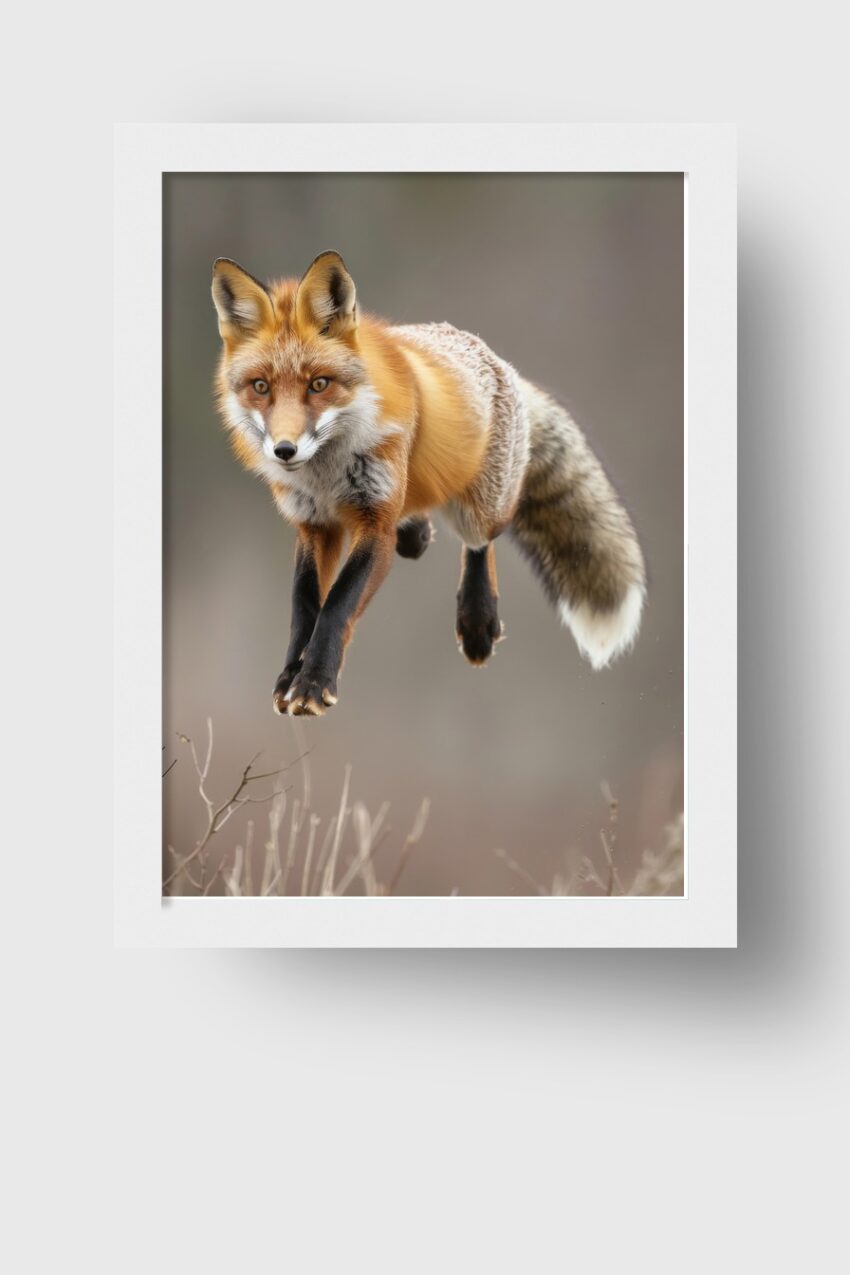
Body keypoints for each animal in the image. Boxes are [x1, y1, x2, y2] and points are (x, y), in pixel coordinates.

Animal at [211, 251, 646, 717]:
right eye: (261, 387)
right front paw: (290, 676)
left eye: (319, 384)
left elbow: (336, 606)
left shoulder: (375, 523)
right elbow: (304, 608)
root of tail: (493, 356)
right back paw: (419, 534)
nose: (284, 450)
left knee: (480, 542)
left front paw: (313, 683)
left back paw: (477, 621)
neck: (326, 473)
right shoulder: (314, 525)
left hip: (482, 507)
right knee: (420, 529)